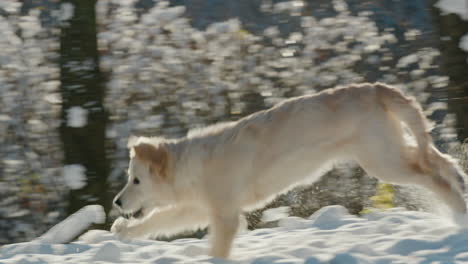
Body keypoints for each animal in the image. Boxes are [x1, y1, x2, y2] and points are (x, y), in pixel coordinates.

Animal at [111, 82, 466, 258]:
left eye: (136, 180)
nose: (116, 202)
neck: (191, 165)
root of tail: (375, 88)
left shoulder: (225, 216)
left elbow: (216, 249)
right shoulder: (200, 209)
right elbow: (159, 221)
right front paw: (123, 230)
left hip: (383, 161)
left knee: (432, 176)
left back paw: (458, 212)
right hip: (390, 151)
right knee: (438, 160)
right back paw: (460, 181)